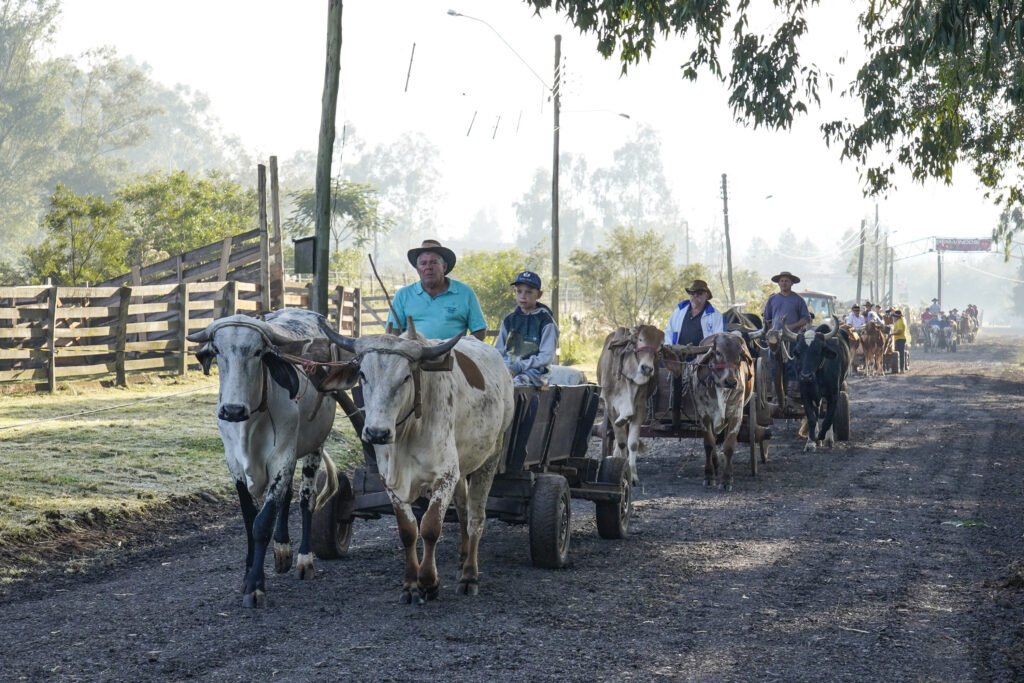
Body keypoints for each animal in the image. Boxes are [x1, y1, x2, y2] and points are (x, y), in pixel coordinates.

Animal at [186, 308, 339, 608]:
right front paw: (248, 575)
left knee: (306, 498)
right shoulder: (235, 465)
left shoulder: (282, 458)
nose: (232, 410)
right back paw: (282, 550)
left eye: (257, 352)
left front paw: (256, 586)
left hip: (314, 446)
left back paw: (304, 559)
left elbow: (262, 523)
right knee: (287, 496)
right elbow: (249, 519)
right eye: (217, 350)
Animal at [317, 320, 514, 604]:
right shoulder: (390, 479)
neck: (407, 431)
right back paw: (462, 559)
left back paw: (469, 575)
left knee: (476, 517)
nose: (377, 433)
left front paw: (429, 582)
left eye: (406, 377)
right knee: (463, 509)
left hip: (491, 455)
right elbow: (408, 530)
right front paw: (410, 585)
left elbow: (430, 527)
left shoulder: (445, 474)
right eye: (363, 375)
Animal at [597, 324, 664, 485]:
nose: (647, 368)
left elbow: (632, 443)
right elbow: (621, 442)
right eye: (640, 339)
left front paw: (632, 474)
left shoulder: (639, 408)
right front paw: (621, 466)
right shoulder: (610, 407)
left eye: (660, 347)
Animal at [671, 332, 754, 491]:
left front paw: (726, 479)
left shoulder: (736, 414)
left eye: (739, 354)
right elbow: (709, 444)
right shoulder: (704, 415)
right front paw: (709, 476)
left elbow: (729, 446)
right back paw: (715, 465)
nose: (731, 382)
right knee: (714, 440)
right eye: (718, 352)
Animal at [782, 317, 851, 451]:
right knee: (817, 411)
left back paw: (827, 439)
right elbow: (812, 418)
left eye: (818, 351)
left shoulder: (833, 395)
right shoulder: (806, 394)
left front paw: (823, 437)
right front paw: (811, 442)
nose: (806, 376)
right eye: (798, 352)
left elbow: (828, 418)